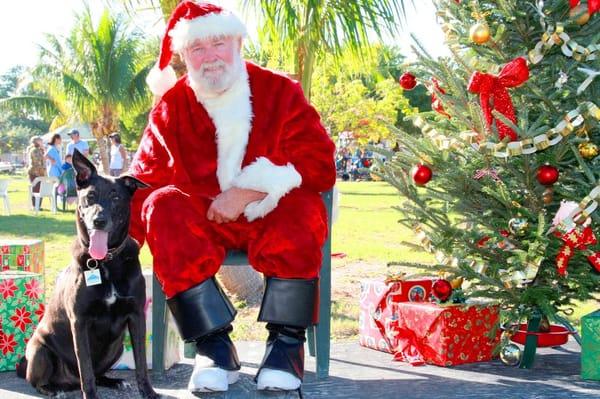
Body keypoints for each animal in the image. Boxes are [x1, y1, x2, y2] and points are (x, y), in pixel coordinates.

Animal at [17, 151, 159, 399]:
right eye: (90, 196)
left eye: (116, 197)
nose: (98, 221)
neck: (105, 261)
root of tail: (69, 381)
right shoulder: (79, 321)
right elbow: (86, 370)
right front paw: (90, 394)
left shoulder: (136, 316)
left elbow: (141, 363)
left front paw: (148, 392)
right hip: (39, 349)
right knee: (40, 380)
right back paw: (53, 389)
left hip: (117, 347)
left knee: (98, 372)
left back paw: (113, 381)